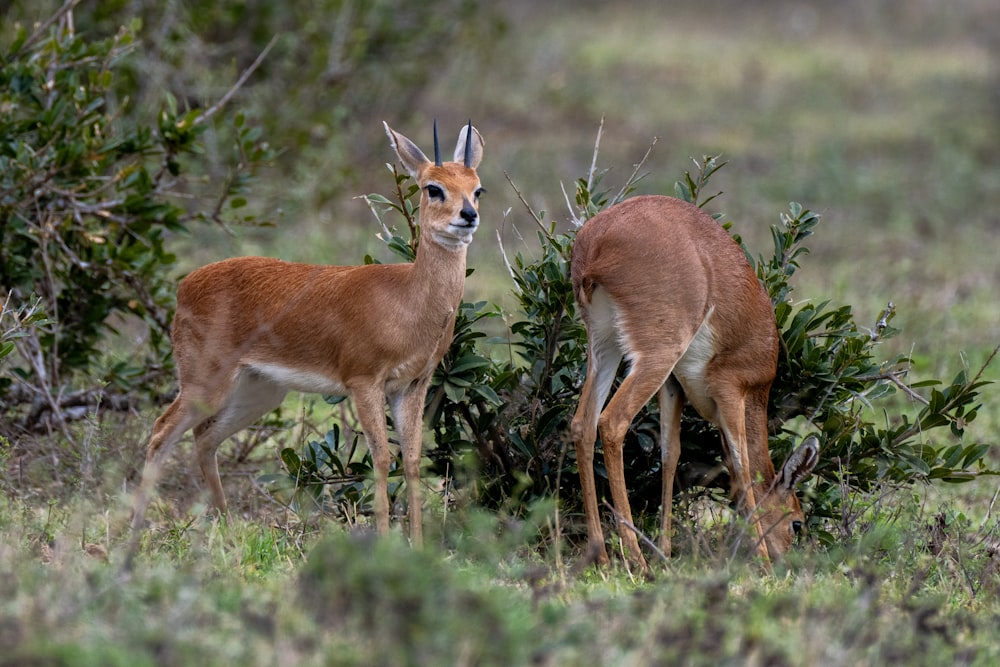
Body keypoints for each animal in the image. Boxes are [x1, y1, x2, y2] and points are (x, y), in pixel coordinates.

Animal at [130, 121, 488, 552]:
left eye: (477, 188)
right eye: (433, 187)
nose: (468, 215)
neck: (408, 298)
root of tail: (185, 285)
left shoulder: (413, 384)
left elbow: (414, 460)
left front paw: (417, 548)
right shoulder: (363, 382)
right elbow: (383, 459)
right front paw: (385, 545)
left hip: (260, 390)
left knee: (204, 438)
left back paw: (228, 530)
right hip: (206, 383)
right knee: (160, 431)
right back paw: (132, 535)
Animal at [572, 196, 820, 572]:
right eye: (797, 523)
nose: (785, 563)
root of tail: (595, 241)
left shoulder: (674, 385)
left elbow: (671, 453)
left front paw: (665, 550)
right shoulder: (731, 390)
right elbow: (743, 467)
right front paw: (762, 560)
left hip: (605, 346)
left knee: (582, 425)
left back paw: (601, 555)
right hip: (657, 354)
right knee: (612, 422)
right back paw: (636, 560)